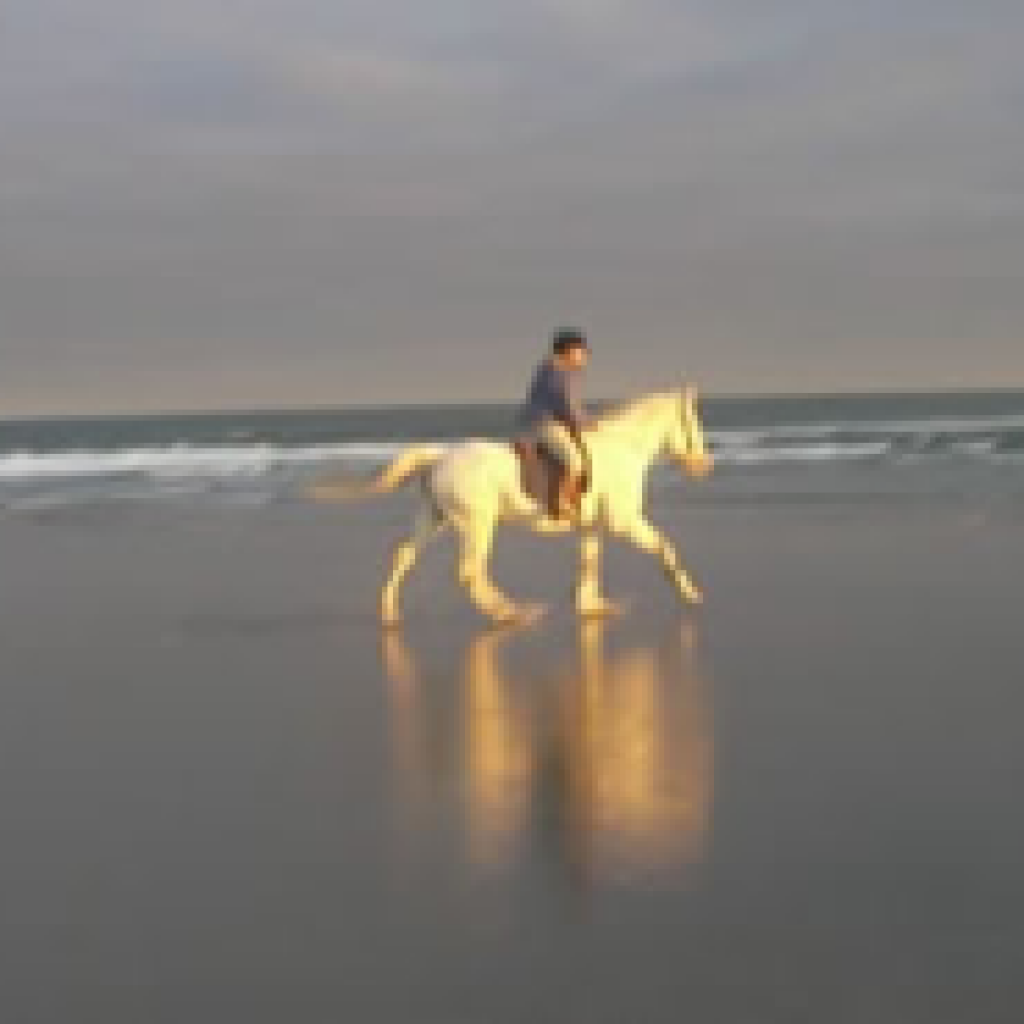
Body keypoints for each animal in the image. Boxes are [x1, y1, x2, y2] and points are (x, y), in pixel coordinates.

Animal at [309, 385, 712, 622]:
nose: (705, 465)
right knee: (470, 571)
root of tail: (440, 456)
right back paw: (507, 612)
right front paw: (691, 594)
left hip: (434, 518)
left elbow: (588, 564)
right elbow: (665, 549)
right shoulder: (625, 522)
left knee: (404, 555)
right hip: (477, 525)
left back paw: (389, 612)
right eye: (693, 422)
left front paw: (592, 606)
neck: (623, 449)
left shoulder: (591, 527)